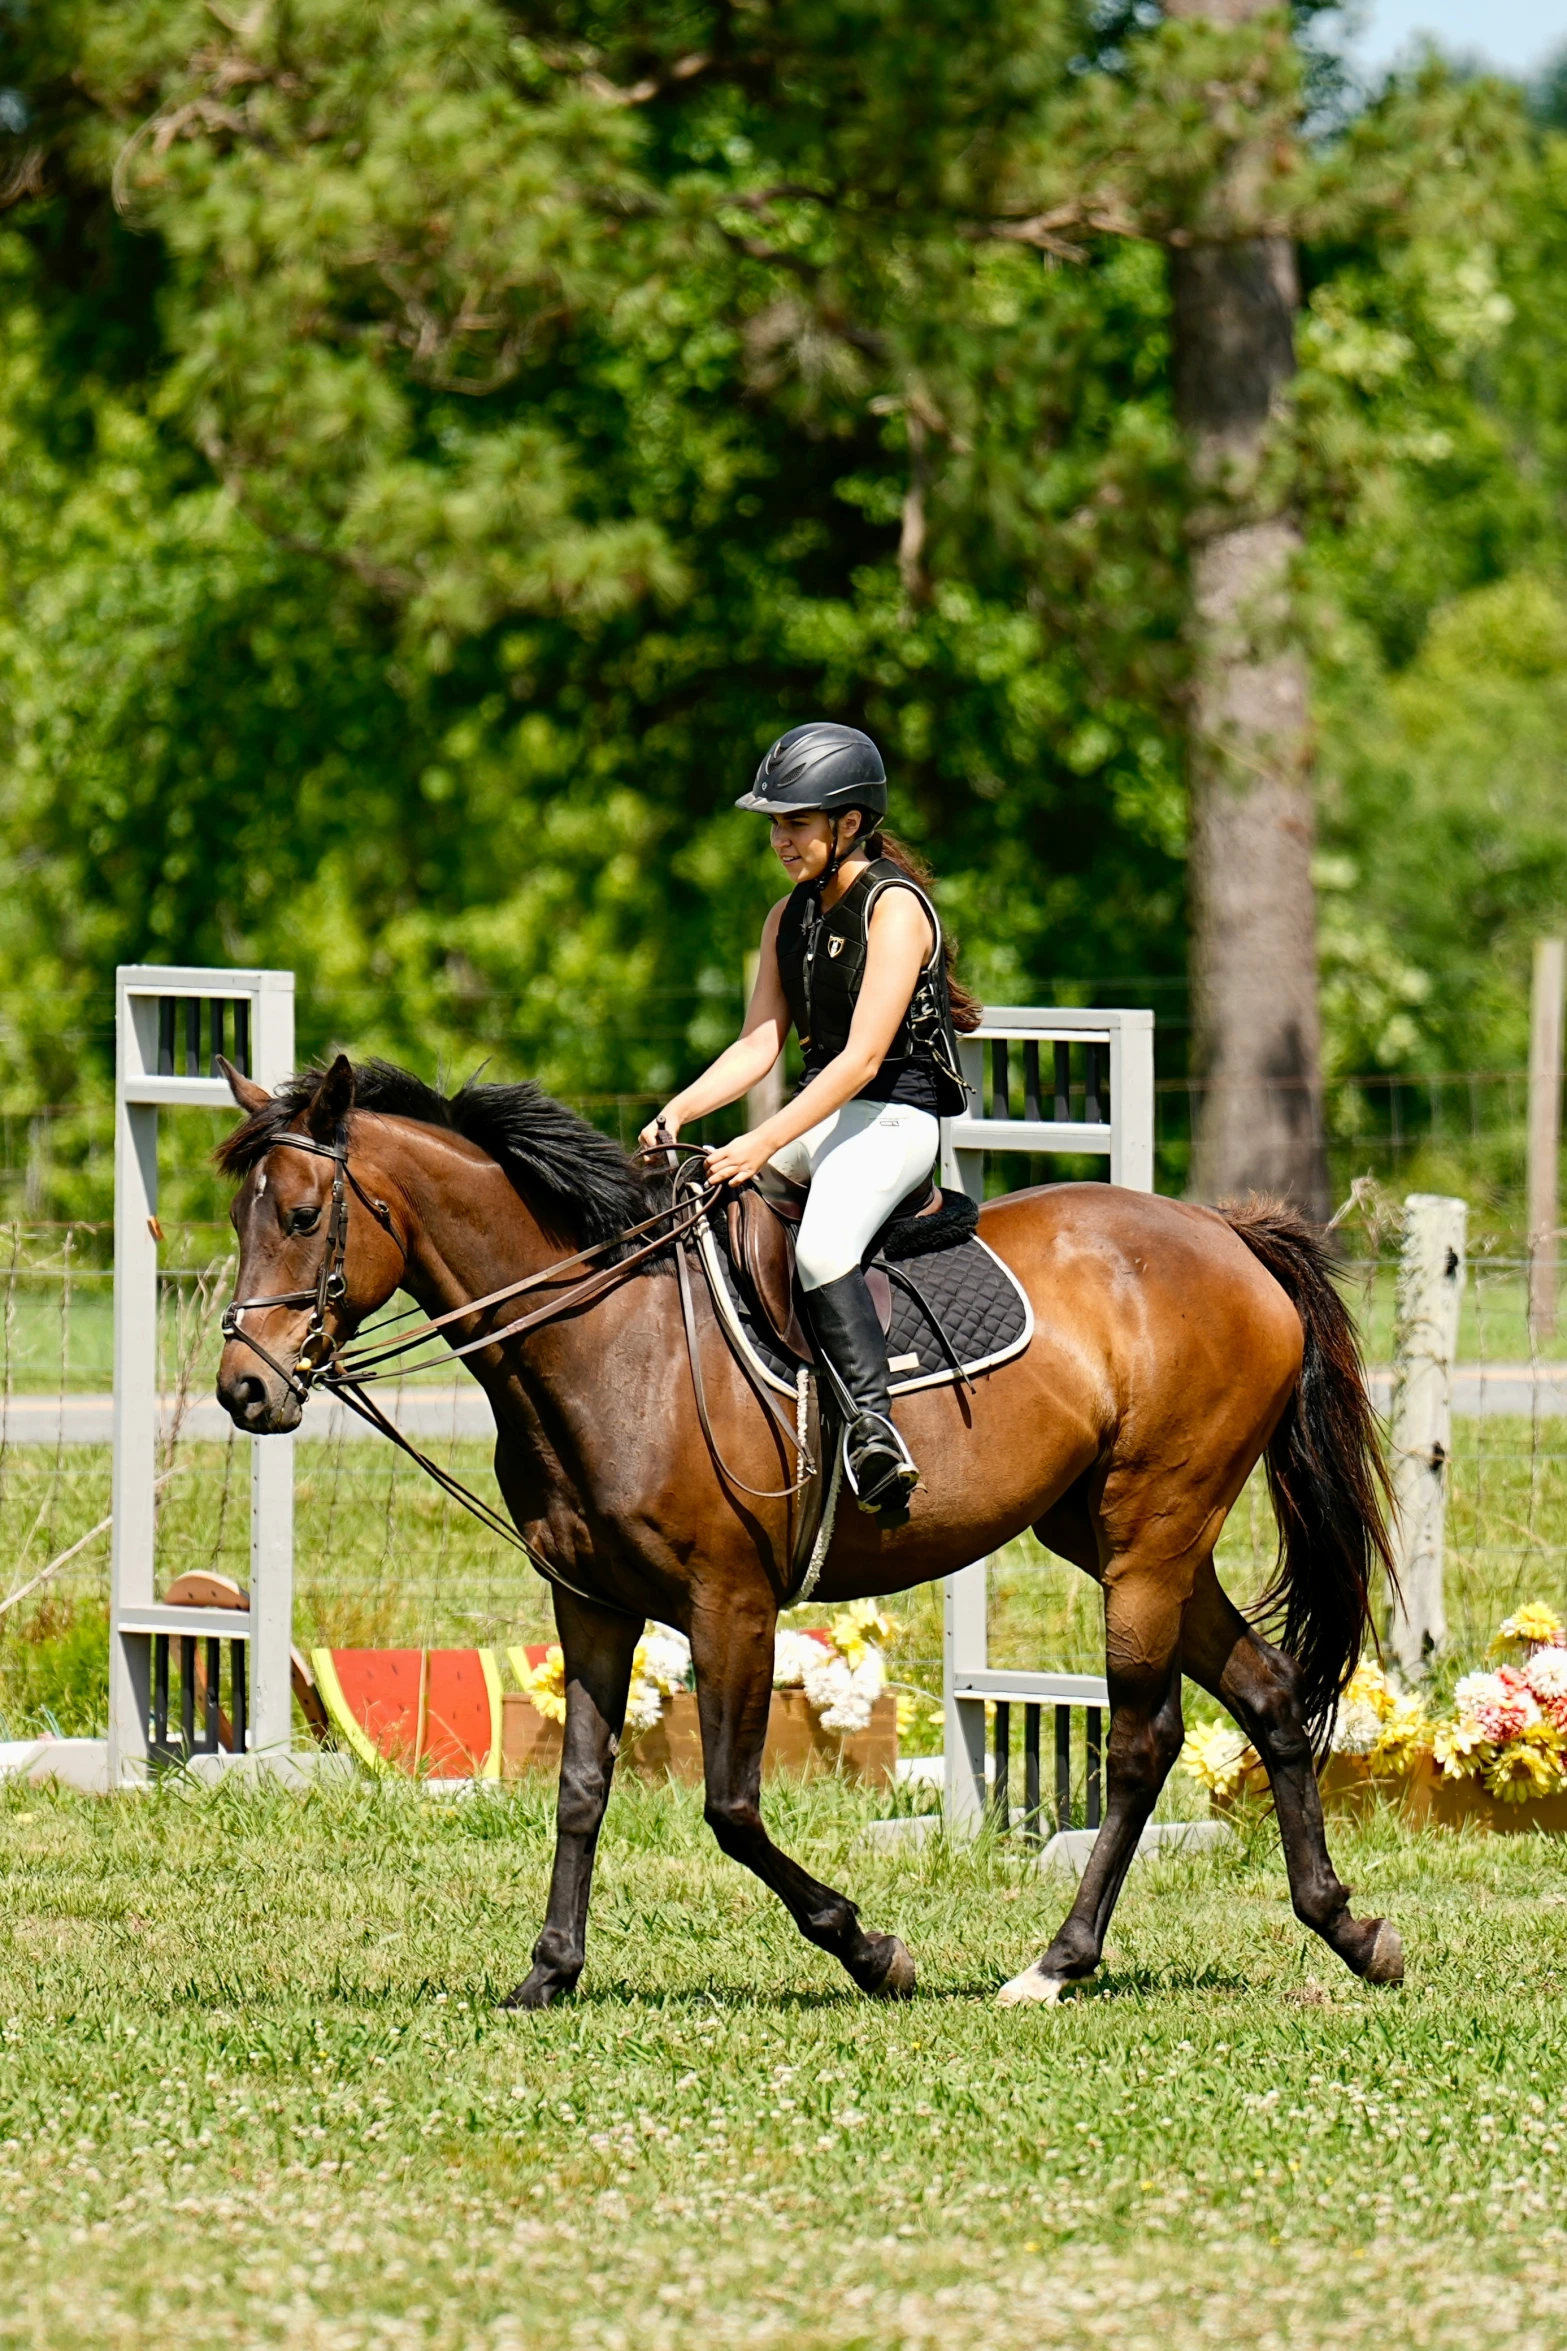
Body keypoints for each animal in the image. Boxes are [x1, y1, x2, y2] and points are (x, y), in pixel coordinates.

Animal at [214, 1062, 1400, 2003]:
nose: (243, 1389)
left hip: (1149, 1535)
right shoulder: (590, 1602)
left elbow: (731, 1807)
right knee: (1267, 1693)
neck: (608, 1338)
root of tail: (1225, 1233)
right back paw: (1349, 1929)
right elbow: (582, 1787)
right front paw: (549, 1969)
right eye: (239, 1220)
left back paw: (1055, 1962)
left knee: (1142, 1740)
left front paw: (871, 1949)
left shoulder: (729, 1601)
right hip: (1122, 1536)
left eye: (306, 1214)